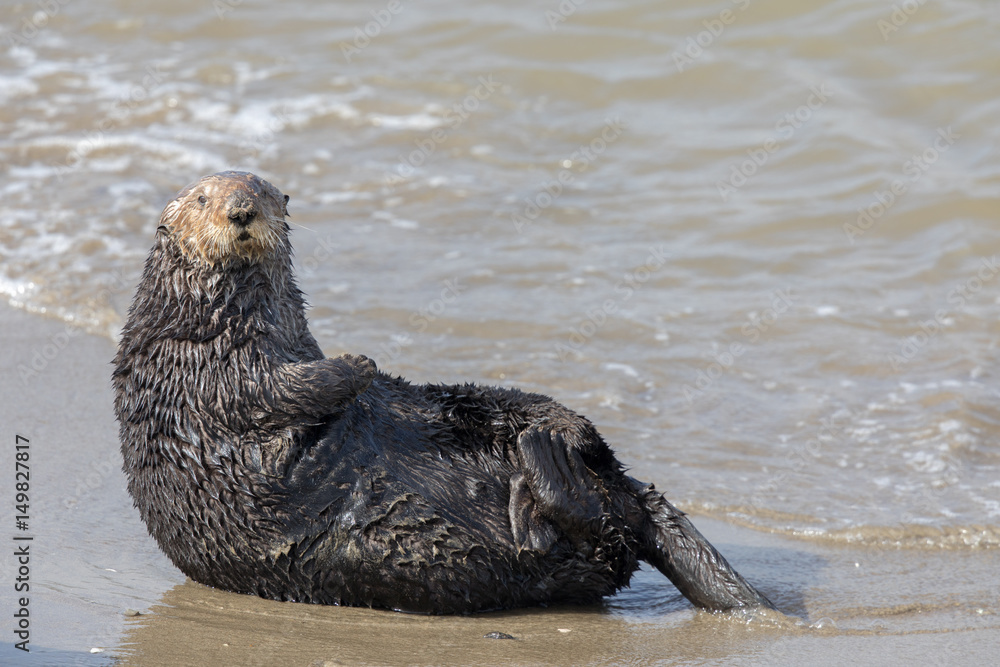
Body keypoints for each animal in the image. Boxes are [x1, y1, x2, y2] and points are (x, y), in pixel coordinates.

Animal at [113, 171, 775, 614]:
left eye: (263, 189)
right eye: (204, 198)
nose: (241, 210)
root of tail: (624, 488)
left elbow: (299, 380)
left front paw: (363, 364)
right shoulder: (218, 366)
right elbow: (281, 389)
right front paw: (359, 362)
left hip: (495, 404)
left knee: (584, 471)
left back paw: (544, 452)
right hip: (556, 550)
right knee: (586, 535)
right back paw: (542, 473)